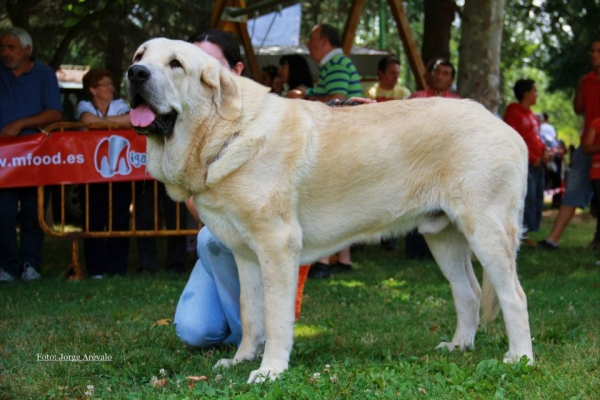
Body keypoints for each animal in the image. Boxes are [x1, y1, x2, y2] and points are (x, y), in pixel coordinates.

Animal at [126, 39, 536, 382]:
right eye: (140, 55)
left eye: (175, 64)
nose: (135, 74)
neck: (225, 134)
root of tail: (506, 127)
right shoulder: (246, 255)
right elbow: (250, 312)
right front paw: (243, 358)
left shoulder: (278, 246)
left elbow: (275, 316)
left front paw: (270, 370)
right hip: (443, 237)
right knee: (468, 293)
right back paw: (458, 346)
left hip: (486, 231)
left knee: (514, 295)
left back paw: (520, 358)